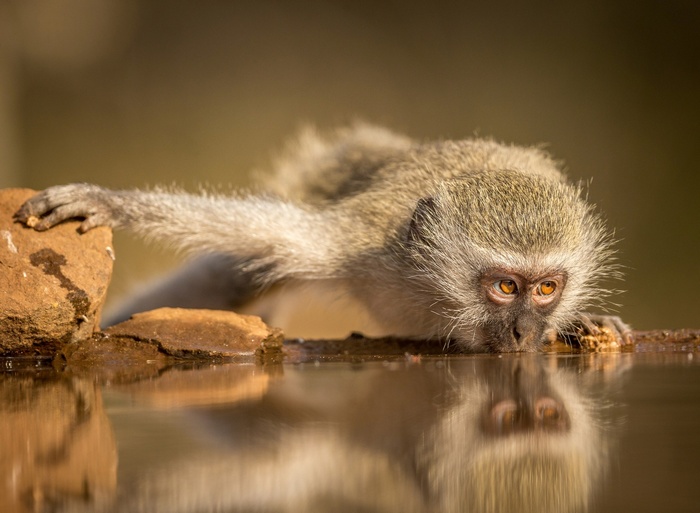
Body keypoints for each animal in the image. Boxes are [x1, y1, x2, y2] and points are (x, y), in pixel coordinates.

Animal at [14, 123, 631, 352]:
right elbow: (244, 229)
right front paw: (110, 200)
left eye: (547, 288)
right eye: (506, 288)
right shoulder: (358, 244)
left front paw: (584, 321)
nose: (526, 331)